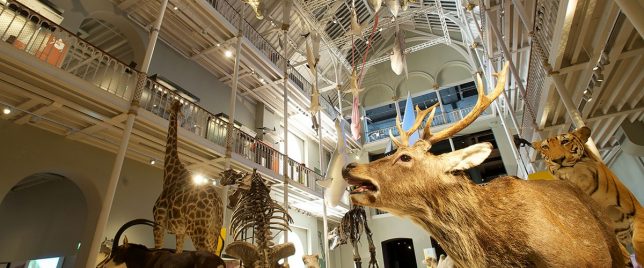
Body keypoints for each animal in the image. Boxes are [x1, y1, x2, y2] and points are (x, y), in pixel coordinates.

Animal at [153, 99, 224, 254]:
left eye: (171, 104)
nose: (167, 110)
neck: (169, 174)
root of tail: (216, 201)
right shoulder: (180, 232)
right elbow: (178, 252)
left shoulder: (158, 222)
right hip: (213, 230)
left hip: (198, 229)